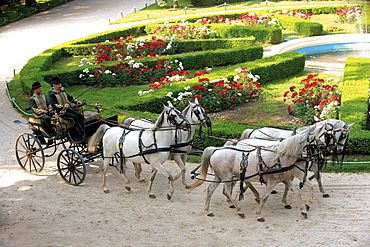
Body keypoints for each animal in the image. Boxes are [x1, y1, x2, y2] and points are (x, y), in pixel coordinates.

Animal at [186, 133, 316, 222]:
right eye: (314, 144)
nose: (315, 157)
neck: (280, 157)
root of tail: (215, 150)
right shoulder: (272, 182)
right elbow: (265, 197)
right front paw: (259, 214)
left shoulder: (286, 179)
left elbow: (297, 192)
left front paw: (303, 210)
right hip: (227, 177)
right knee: (227, 191)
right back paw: (239, 210)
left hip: (219, 176)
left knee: (210, 190)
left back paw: (208, 210)